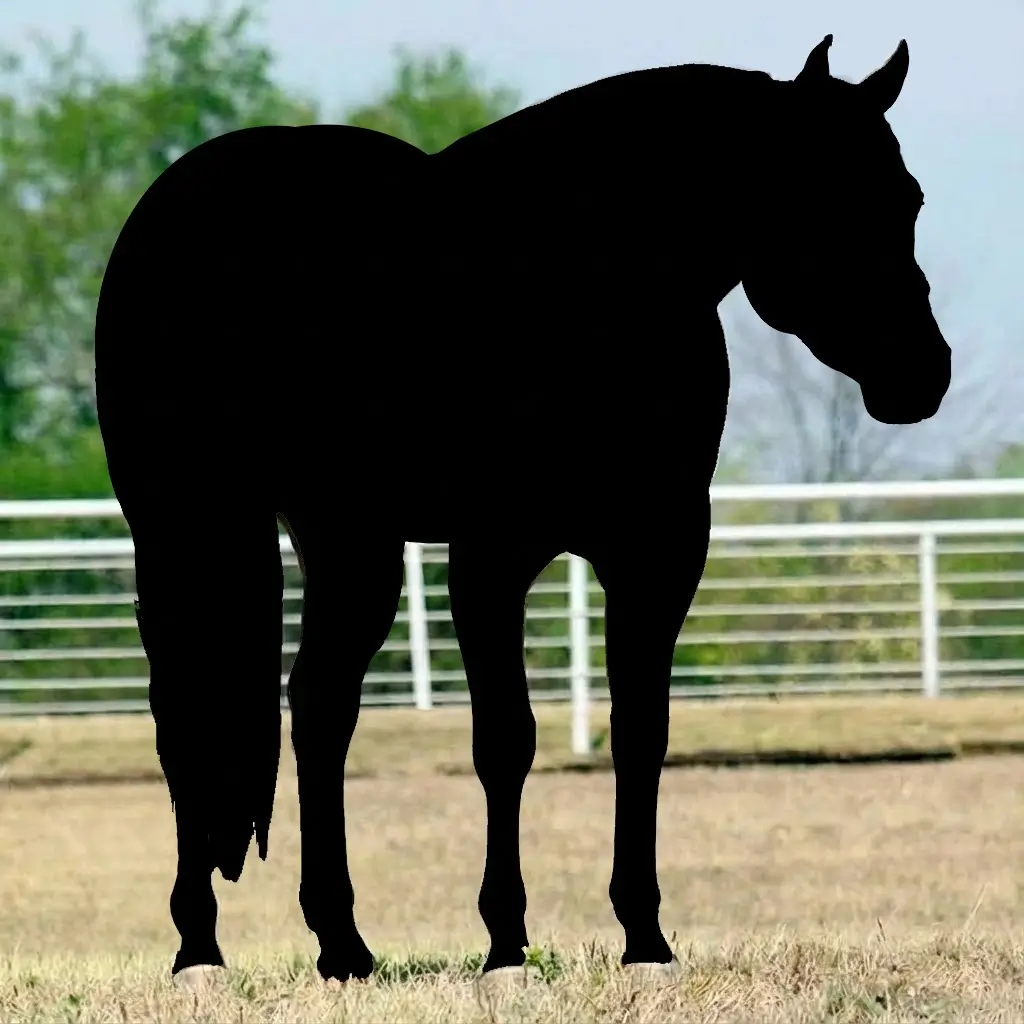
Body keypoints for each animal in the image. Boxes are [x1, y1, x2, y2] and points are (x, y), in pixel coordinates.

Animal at [94, 34, 951, 988]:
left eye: (907, 198)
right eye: (820, 196)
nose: (923, 374)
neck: (581, 286)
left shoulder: (659, 550)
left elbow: (640, 731)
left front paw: (645, 938)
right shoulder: (491, 554)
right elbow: (505, 739)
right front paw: (506, 943)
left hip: (346, 539)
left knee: (318, 705)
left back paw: (342, 945)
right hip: (178, 526)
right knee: (183, 716)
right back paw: (198, 946)